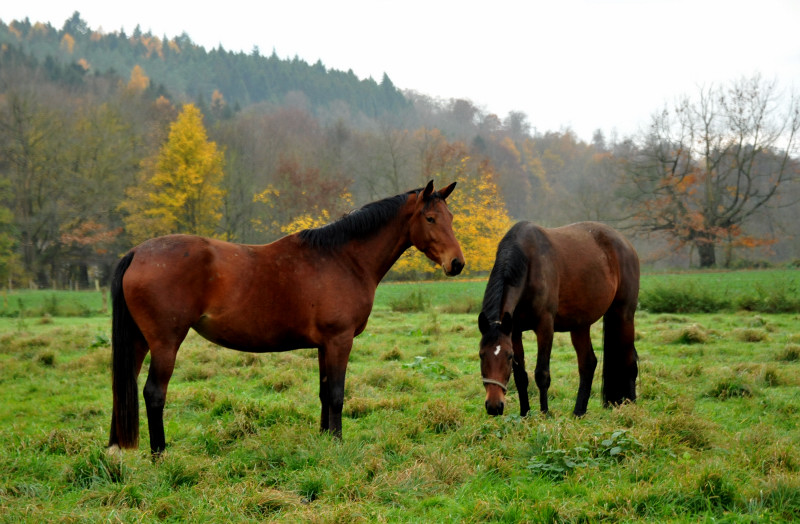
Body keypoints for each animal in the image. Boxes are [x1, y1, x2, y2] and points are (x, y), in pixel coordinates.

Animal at [109, 181, 466, 454]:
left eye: (450, 217)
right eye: (430, 218)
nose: (457, 263)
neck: (343, 258)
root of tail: (137, 253)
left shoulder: (325, 345)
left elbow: (324, 392)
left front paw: (324, 440)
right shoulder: (339, 340)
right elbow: (337, 394)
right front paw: (337, 446)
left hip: (139, 342)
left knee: (124, 386)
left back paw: (117, 450)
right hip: (166, 343)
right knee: (153, 393)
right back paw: (160, 454)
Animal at [478, 221, 640, 418]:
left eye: (508, 356)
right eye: (481, 355)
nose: (494, 406)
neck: (529, 264)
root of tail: (626, 245)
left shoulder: (545, 327)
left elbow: (542, 374)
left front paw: (545, 413)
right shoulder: (514, 331)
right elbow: (521, 376)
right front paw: (525, 414)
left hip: (624, 315)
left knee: (630, 360)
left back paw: (630, 405)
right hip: (580, 325)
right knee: (588, 363)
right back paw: (579, 412)